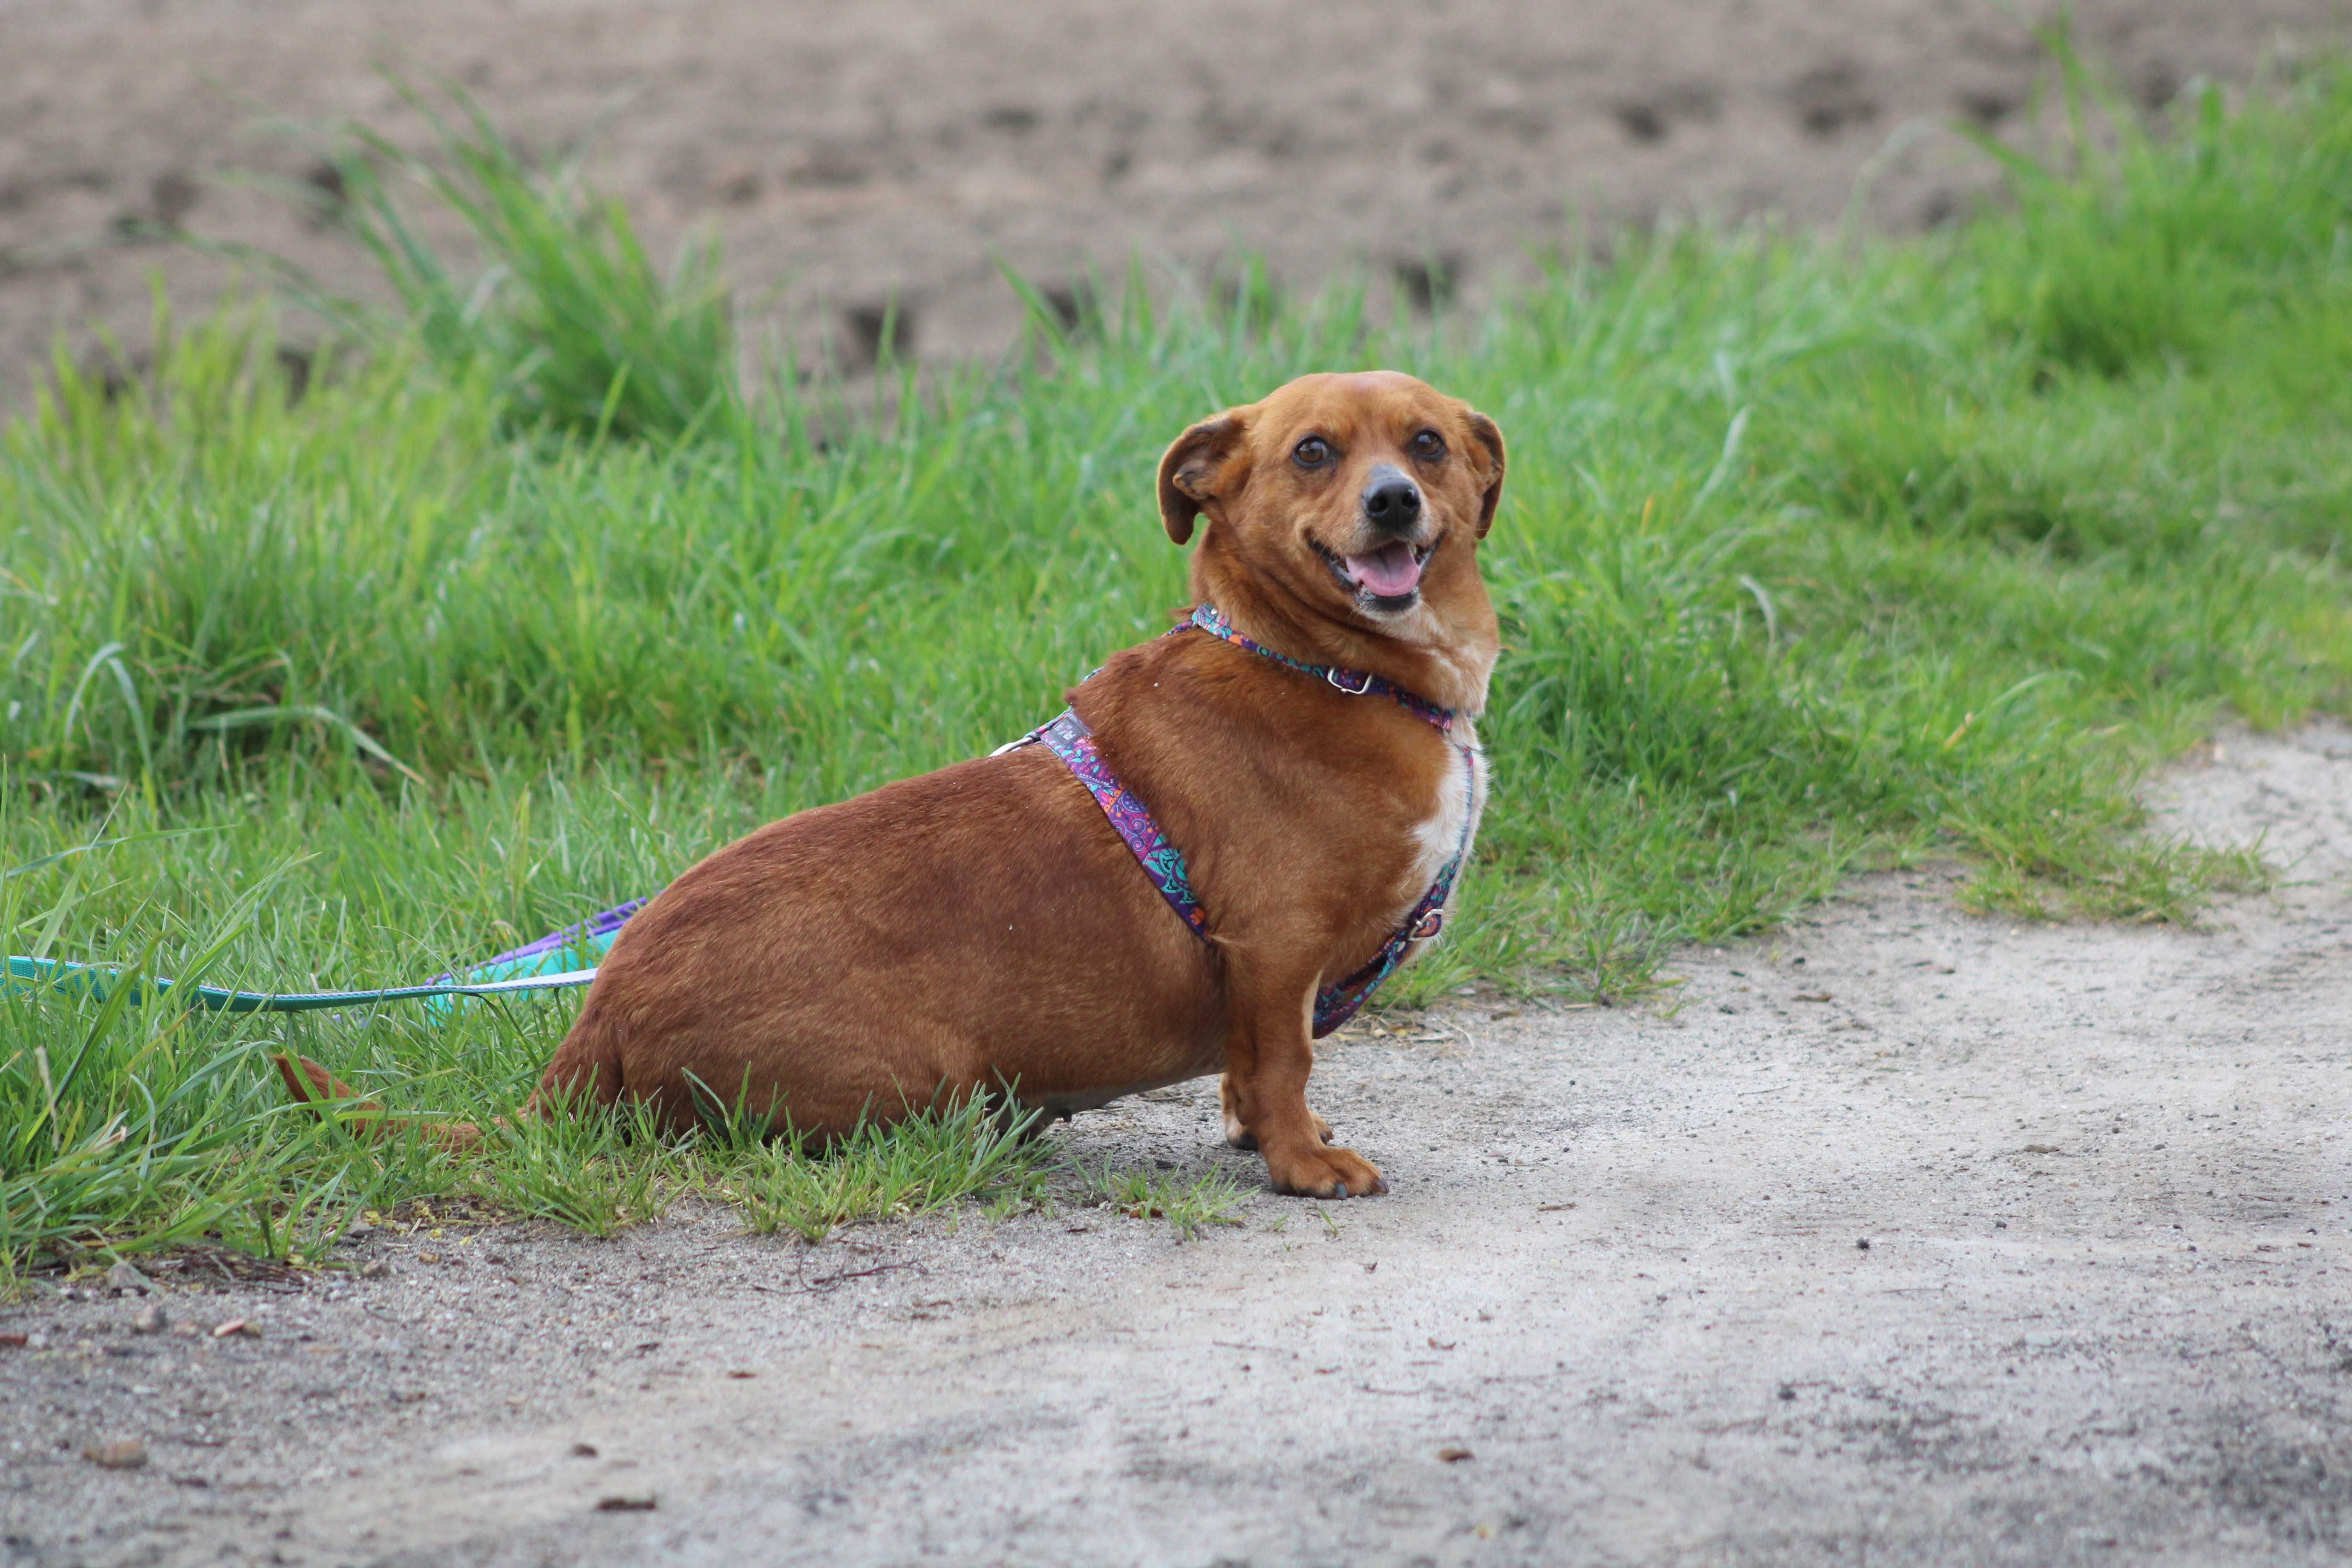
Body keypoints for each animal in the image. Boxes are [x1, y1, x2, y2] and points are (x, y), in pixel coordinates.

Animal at [284, 371, 1496, 1203]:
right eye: (1313, 453)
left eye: (1426, 443)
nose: (1393, 502)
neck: (1323, 664)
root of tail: (598, 1016)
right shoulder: (1272, 947)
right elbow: (1283, 1061)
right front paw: (1302, 1163)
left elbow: (1253, 1077)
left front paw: (1270, 1137)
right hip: (916, 1073)